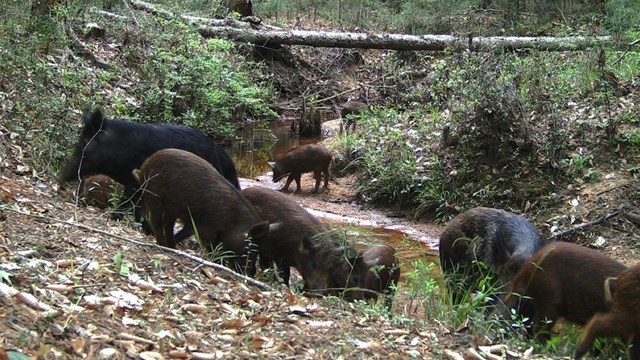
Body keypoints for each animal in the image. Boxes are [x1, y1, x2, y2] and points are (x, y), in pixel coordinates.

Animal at [58, 108, 239, 229]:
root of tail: (231, 168)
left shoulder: (136, 180)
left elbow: (129, 202)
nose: (61, 177)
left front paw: (117, 217)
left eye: (84, 144)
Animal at [132, 148, 276, 274]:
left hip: (171, 208)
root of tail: (144, 166)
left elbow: (186, 232)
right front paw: (219, 263)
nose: (251, 273)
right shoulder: (208, 227)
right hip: (154, 195)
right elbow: (212, 246)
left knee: (168, 224)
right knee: (156, 221)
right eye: (249, 250)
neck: (232, 220)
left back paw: (172, 247)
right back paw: (162, 245)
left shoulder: (194, 222)